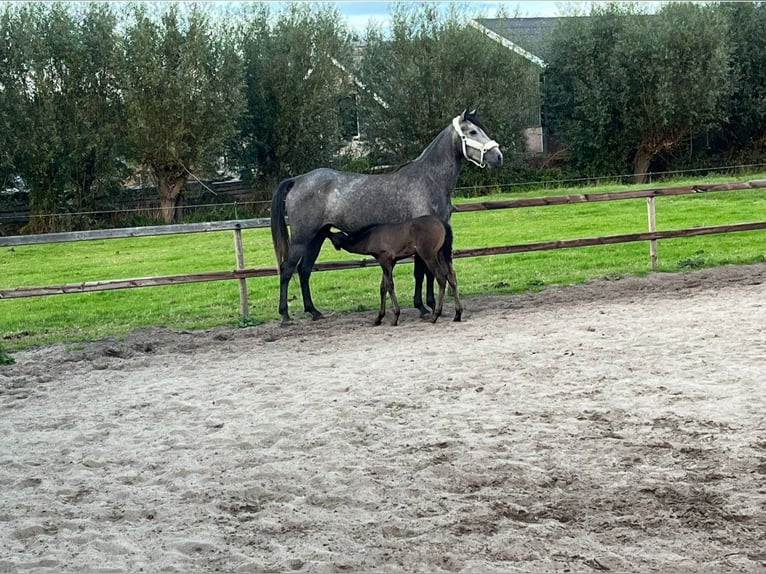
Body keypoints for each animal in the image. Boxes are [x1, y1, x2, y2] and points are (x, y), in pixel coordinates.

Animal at [328, 215, 462, 326]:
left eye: (333, 236)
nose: (328, 234)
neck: (371, 236)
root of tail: (442, 223)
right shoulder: (390, 263)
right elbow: (383, 287)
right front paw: (378, 318)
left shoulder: (385, 260)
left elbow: (390, 285)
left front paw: (395, 317)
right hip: (442, 254)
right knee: (451, 276)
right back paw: (458, 314)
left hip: (429, 256)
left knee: (441, 278)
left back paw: (435, 315)